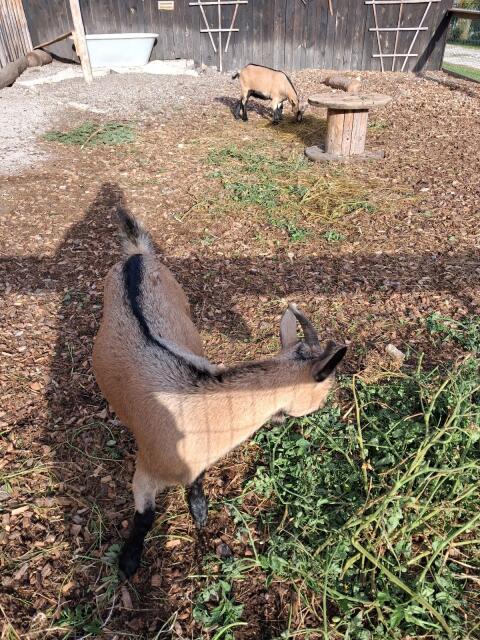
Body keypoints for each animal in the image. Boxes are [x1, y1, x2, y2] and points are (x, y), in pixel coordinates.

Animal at [92, 210, 346, 578]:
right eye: (324, 391)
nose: (329, 403)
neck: (201, 407)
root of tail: (135, 257)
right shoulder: (146, 470)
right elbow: (145, 516)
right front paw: (127, 563)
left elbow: (196, 481)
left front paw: (199, 510)